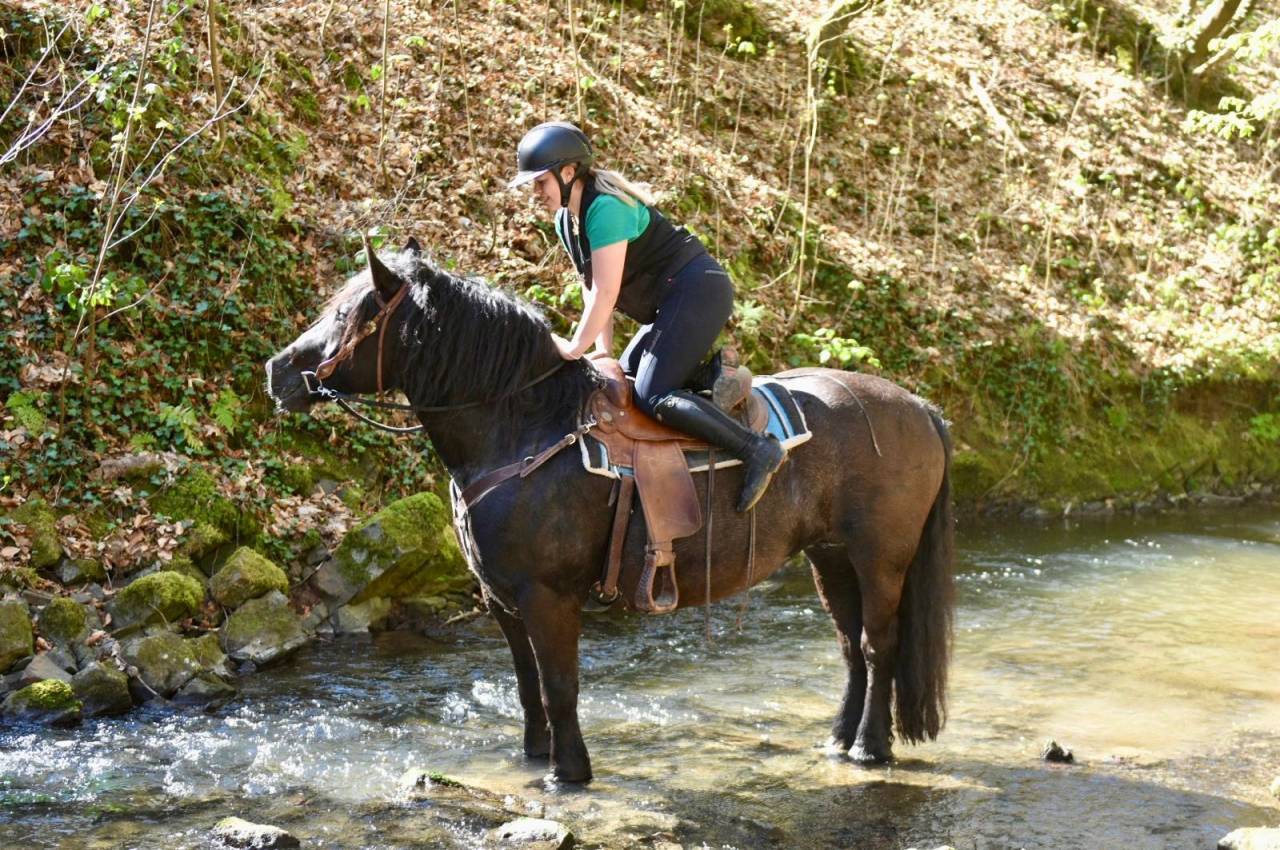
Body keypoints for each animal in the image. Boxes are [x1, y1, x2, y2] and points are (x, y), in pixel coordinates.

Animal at [265, 238, 955, 783]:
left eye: (348, 312)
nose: (278, 371)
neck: (524, 428)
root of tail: (921, 407)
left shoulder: (547, 595)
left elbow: (559, 685)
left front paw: (567, 774)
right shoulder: (500, 598)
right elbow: (527, 684)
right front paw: (535, 759)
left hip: (880, 558)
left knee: (878, 645)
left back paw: (870, 748)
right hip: (829, 557)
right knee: (849, 645)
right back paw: (839, 739)